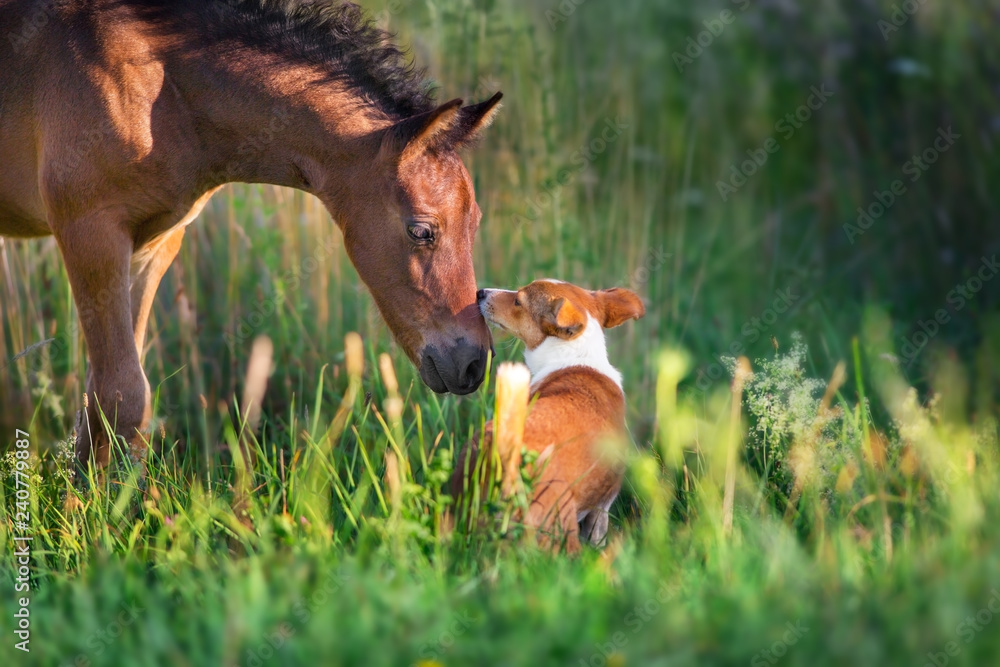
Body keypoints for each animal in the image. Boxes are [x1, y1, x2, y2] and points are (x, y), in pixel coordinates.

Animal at [0, 1, 500, 470]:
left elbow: (112, 402)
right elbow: (120, 395)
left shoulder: (153, 245)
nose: (473, 364)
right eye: (421, 230)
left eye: (476, 222)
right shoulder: (90, 231)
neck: (159, 91)